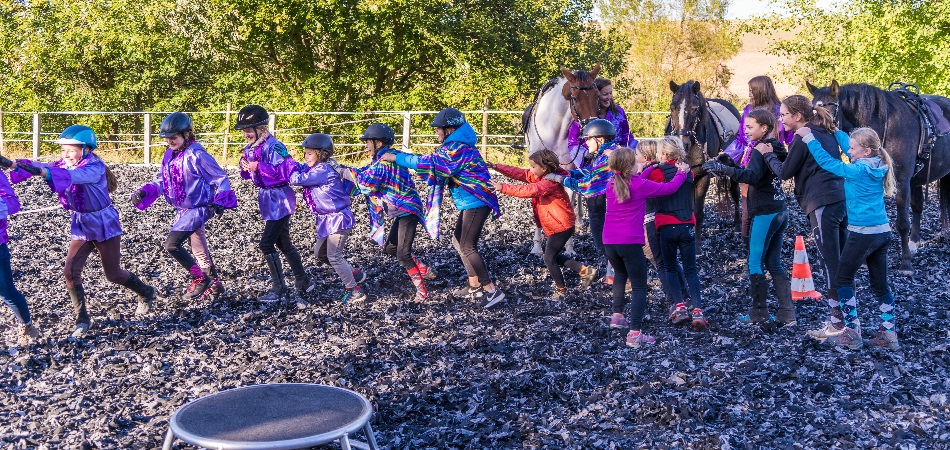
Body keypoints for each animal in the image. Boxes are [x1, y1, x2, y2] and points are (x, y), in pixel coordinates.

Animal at [664, 80, 748, 253]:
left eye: (695, 109)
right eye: (672, 107)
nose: (681, 143)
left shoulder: (703, 177)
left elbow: (698, 212)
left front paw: (696, 247)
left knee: (735, 193)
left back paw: (737, 227)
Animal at [808, 81, 950, 274]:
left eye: (829, 110)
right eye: (812, 110)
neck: (886, 126)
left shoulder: (901, 182)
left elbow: (902, 223)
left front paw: (906, 264)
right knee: (918, 206)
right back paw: (915, 242)